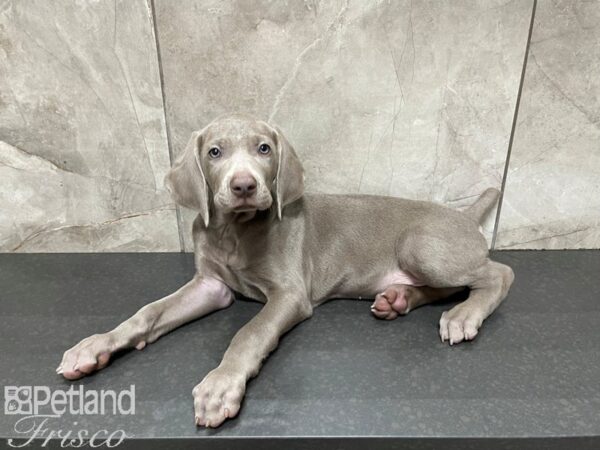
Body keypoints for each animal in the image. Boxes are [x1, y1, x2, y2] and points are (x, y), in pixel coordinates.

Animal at [57, 114, 516, 428]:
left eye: (264, 149)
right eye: (214, 152)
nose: (244, 186)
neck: (235, 232)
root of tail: (463, 215)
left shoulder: (289, 294)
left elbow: (249, 333)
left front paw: (221, 384)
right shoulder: (210, 286)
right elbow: (148, 312)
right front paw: (94, 346)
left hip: (420, 246)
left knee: (498, 273)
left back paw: (463, 316)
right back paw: (397, 299)